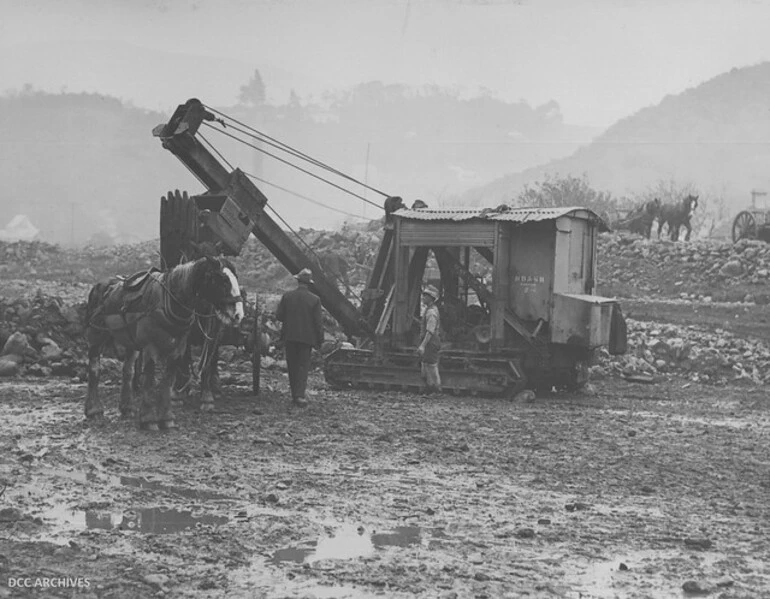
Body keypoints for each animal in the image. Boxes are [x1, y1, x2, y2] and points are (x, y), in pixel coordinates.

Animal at [83, 258, 242, 432]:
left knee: (128, 372)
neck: (167, 302)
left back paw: (127, 409)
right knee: (94, 369)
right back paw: (94, 410)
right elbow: (150, 380)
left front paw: (166, 419)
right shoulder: (150, 347)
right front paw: (148, 420)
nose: (238, 314)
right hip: (96, 336)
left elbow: (167, 381)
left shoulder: (177, 349)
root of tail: (99, 287)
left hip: (131, 343)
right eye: (223, 280)